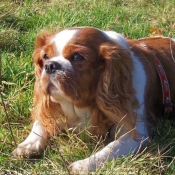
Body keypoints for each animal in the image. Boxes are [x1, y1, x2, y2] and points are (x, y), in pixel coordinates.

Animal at [12, 26, 175, 173]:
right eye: (45, 57)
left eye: (77, 57)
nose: (50, 65)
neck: (78, 106)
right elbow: (40, 123)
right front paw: (28, 144)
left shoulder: (136, 134)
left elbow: (110, 149)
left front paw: (84, 164)